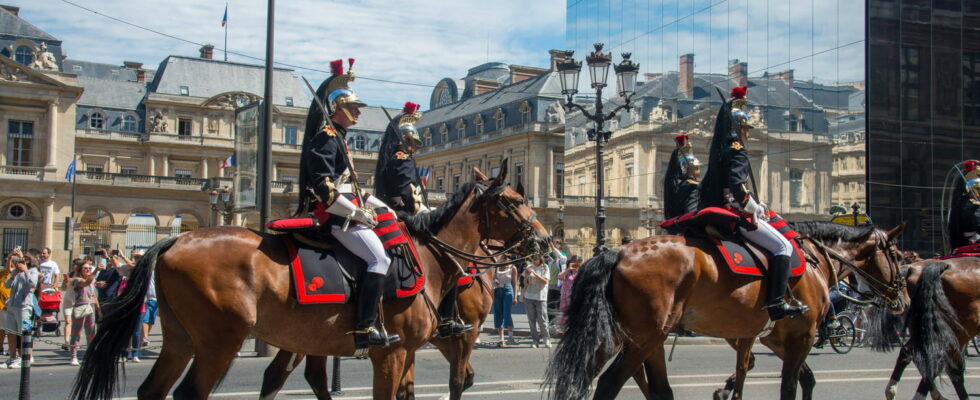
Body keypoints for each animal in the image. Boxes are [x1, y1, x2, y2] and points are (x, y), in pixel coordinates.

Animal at [540, 222, 908, 400]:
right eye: (898, 256)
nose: (904, 299)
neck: (814, 260)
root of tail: (616, 251)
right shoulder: (801, 336)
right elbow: (790, 385)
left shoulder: (768, 336)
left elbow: (789, 376)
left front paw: (726, 389)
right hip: (644, 337)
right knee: (609, 384)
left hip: (634, 336)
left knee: (645, 387)